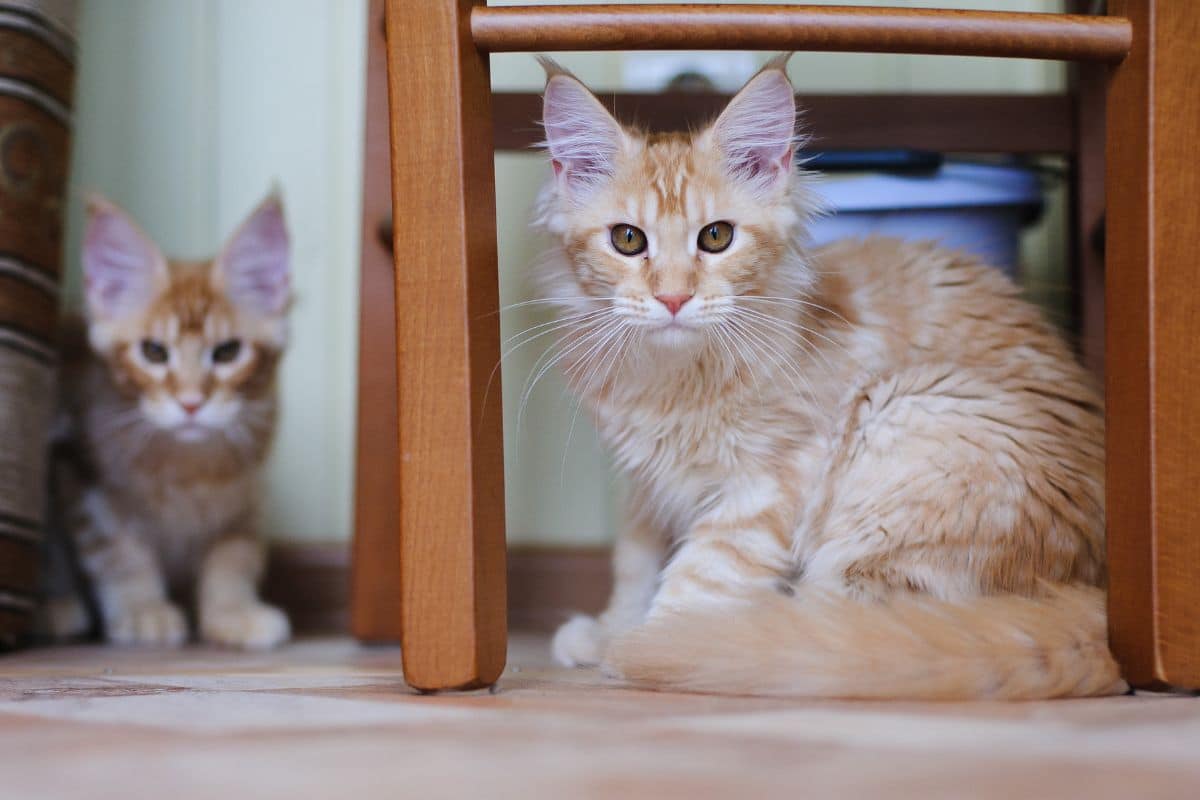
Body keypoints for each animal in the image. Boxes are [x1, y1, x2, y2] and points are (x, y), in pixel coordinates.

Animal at [45, 194, 294, 652]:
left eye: (227, 352)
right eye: (154, 352)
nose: (191, 402)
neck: (187, 469)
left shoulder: (246, 494)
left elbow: (234, 553)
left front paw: (233, 613)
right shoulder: (81, 474)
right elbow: (118, 551)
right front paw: (144, 610)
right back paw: (56, 608)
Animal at [535, 56, 1123, 695]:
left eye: (716, 236)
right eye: (627, 239)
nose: (672, 298)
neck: (674, 380)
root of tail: (1092, 589)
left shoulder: (767, 482)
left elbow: (702, 574)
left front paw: (650, 642)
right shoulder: (647, 486)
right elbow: (635, 560)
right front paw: (611, 628)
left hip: (902, 428)